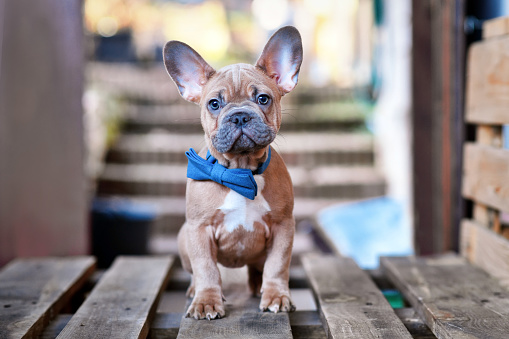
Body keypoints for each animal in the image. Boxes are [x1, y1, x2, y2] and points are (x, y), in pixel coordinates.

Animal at [163, 26, 302, 322]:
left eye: (263, 99)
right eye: (214, 104)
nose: (239, 115)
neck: (240, 170)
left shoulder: (283, 226)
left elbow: (277, 265)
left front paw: (276, 296)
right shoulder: (199, 229)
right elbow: (206, 268)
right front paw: (206, 301)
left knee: (258, 269)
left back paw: (258, 287)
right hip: (183, 237)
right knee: (197, 272)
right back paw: (194, 290)